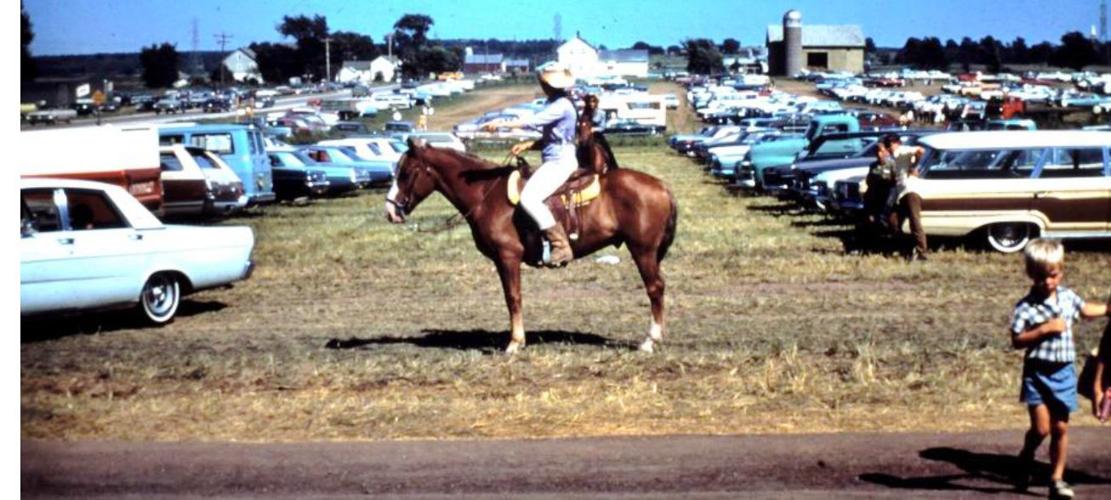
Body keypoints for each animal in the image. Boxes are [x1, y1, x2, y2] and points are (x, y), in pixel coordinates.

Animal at [385, 138, 678, 353]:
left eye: (406, 173)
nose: (390, 211)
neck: (486, 194)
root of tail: (662, 186)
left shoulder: (507, 258)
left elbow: (513, 298)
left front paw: (515, 343)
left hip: (642, 250)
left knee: (655, 288)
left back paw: (650, 341)